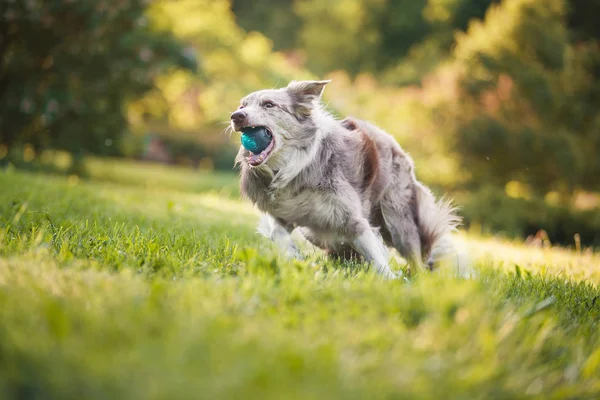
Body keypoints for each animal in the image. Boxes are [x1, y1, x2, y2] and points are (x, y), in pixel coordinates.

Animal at [230, 79, 460, 280]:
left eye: (269, 104)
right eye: (242, 105)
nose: (236, 116)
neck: (294, 168)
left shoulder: (351, 219)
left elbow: (374, 253)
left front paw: (390, 279)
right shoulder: (282, 213)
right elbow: (277, 234)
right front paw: (292, 256)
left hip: (397, 220)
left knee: (416, 257)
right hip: (318, 233)